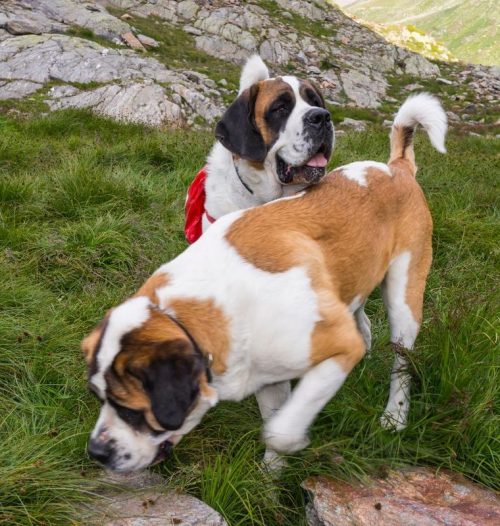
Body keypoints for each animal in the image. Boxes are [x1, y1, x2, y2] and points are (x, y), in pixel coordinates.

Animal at [82, 93, 446, 476]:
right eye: (98, 396)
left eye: (130, 409)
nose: (96, 451)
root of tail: (396, 167)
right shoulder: (269, 372)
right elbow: (274, 418)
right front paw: (270, 477)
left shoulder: (336, 345)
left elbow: (279, 431)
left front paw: (291, 447)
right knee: (362, 322)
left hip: (405, 299)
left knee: (401, 362)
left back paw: (395, 416)